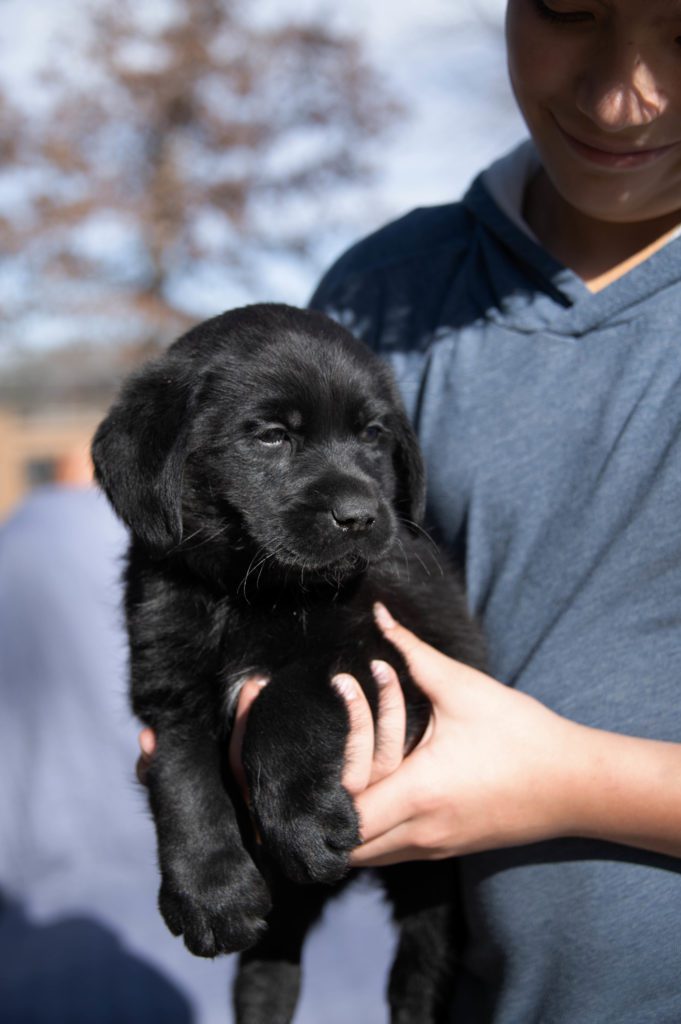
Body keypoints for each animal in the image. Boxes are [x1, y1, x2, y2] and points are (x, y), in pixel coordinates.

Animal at [93, 303, 485, 1024]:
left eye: (373, 434)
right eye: (273, 437)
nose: (359, 517)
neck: (251, 594)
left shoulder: (397, 654)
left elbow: (287, 697)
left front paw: (304, 825)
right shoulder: (170, 685)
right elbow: (181, 779)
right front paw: (209, 892)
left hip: (432, 887)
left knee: (419, 972)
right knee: (268, 971)